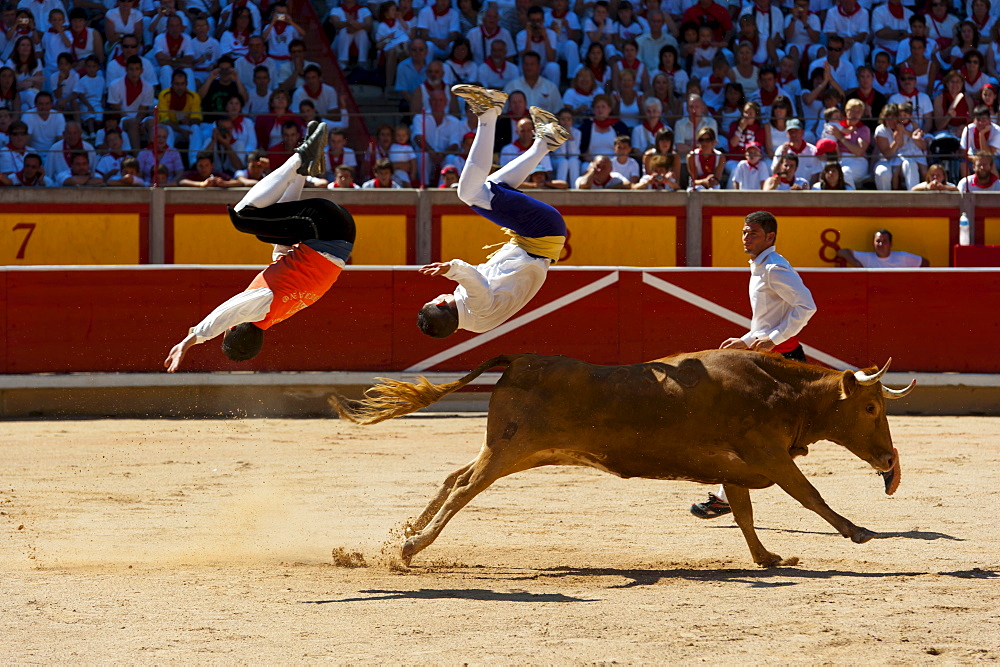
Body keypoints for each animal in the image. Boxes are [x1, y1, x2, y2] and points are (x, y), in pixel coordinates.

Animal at [330, 350, 916, 568]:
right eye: (870, 407)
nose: (887, 460)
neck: (779, 392)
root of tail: (519, 358)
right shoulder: (769, 457)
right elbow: (809, 494)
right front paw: (859, 531)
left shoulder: (737, 468)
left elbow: (745, 513)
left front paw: (768, 559)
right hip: (509, 449)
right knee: (462, 489)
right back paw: (409, 548)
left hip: (508, 448)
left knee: (453, 476)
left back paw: (404, 533)